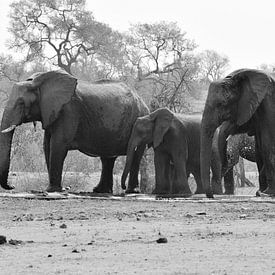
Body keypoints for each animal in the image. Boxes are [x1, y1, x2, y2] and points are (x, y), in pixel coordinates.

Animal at [0, 70, 150, 193]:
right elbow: (47, 146)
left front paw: (52, 190)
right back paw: (100, 191)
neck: (38, 83)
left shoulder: (68, 110)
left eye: (21, 103)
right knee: (107, 158)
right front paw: (55, 189)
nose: (12, 186)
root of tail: (142, 100)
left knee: (135, 155)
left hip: (140, 120)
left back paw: (131, 191)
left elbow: (57, 145)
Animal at [202, 68, 274, 198]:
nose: (212, 196)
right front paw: (261, 192)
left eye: (221, 104)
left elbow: (267, 146)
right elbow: (260, 150)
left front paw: (265, 193)